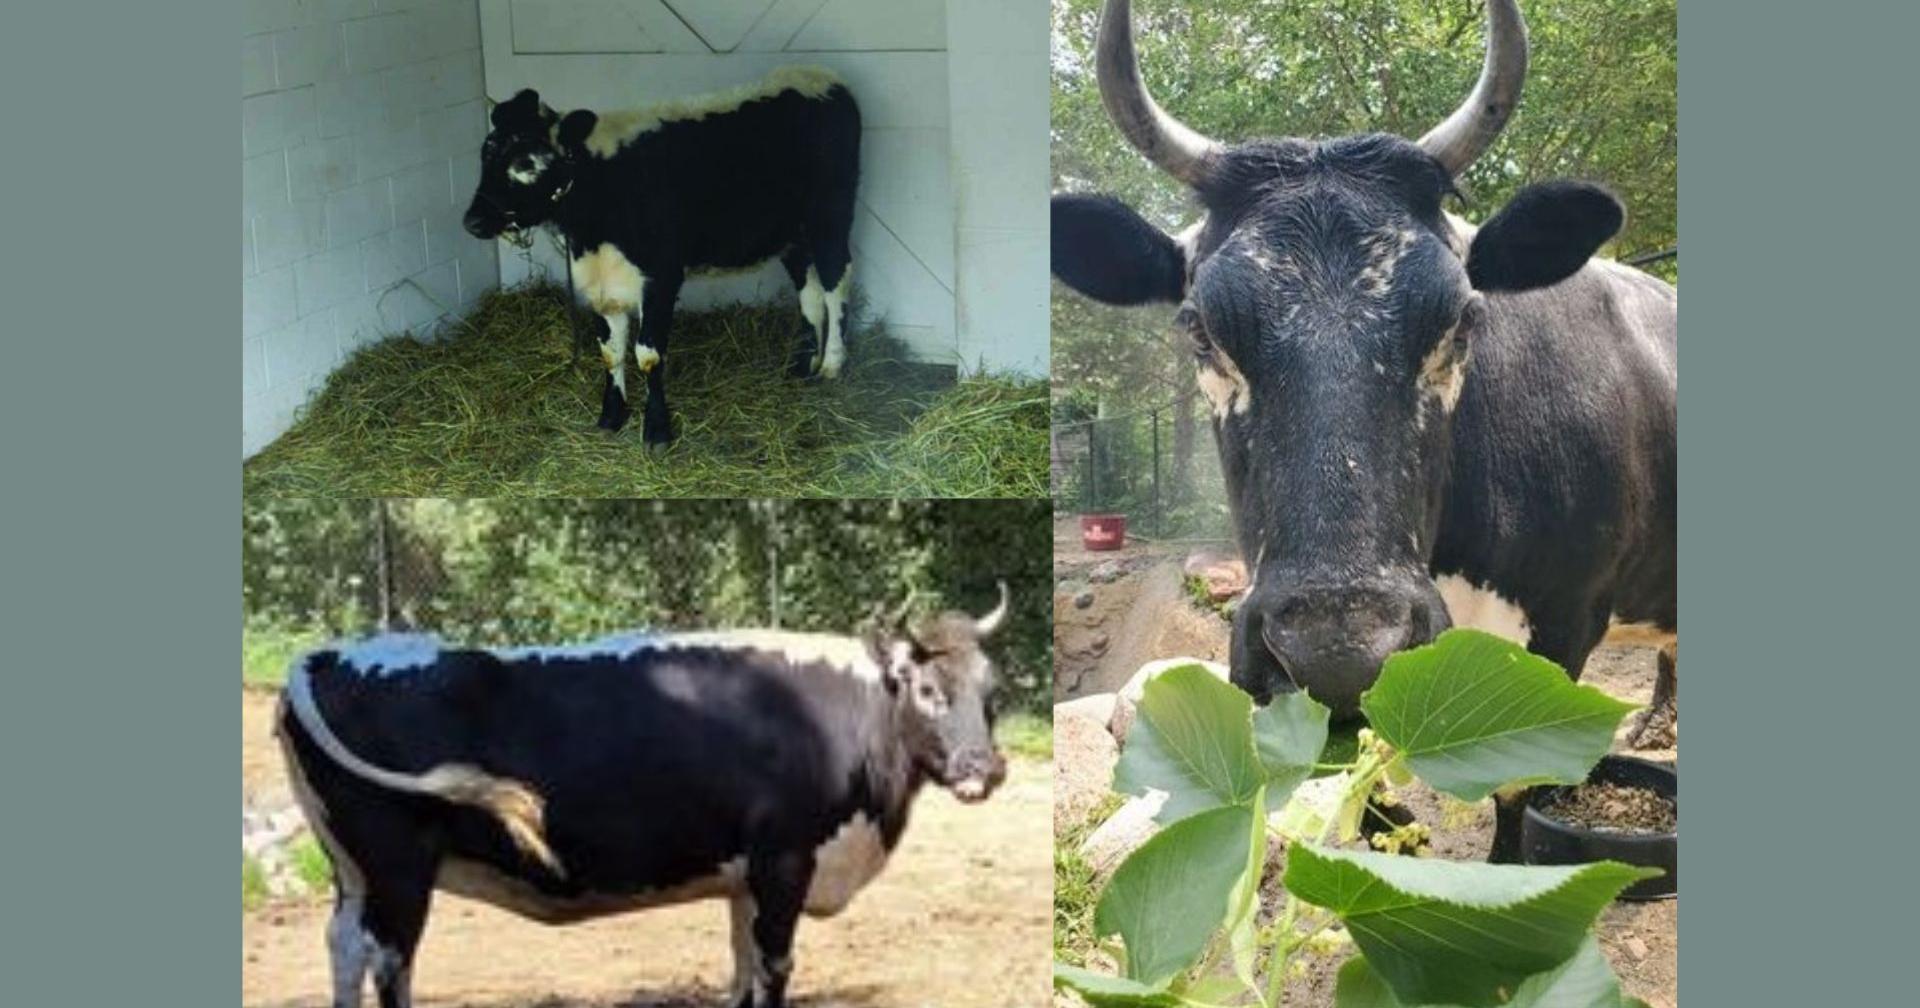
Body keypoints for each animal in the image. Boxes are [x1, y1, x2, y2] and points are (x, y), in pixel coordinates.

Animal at [275, 586, 1013, 1008]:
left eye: (991, 691)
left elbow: (743, 969)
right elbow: (775, 968)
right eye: (928, 690)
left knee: (344, 948)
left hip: (353, 869)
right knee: (389, 960)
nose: (984, 768)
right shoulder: (784, 860)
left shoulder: (745, 875)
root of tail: (325, 656)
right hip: (399, 868)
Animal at [462, 67, 862, 450]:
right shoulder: (600, 283)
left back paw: (832, 364)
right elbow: (610, 352)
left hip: (830, 218)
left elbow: (647, 354)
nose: (473, 221)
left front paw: (656, 431)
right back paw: (803, 365)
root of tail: (821, 75)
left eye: (527, 163)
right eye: (484, 153)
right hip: (791, 237)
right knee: (809, 290)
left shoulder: (661, 276)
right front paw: (611, 417)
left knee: (836, 281)